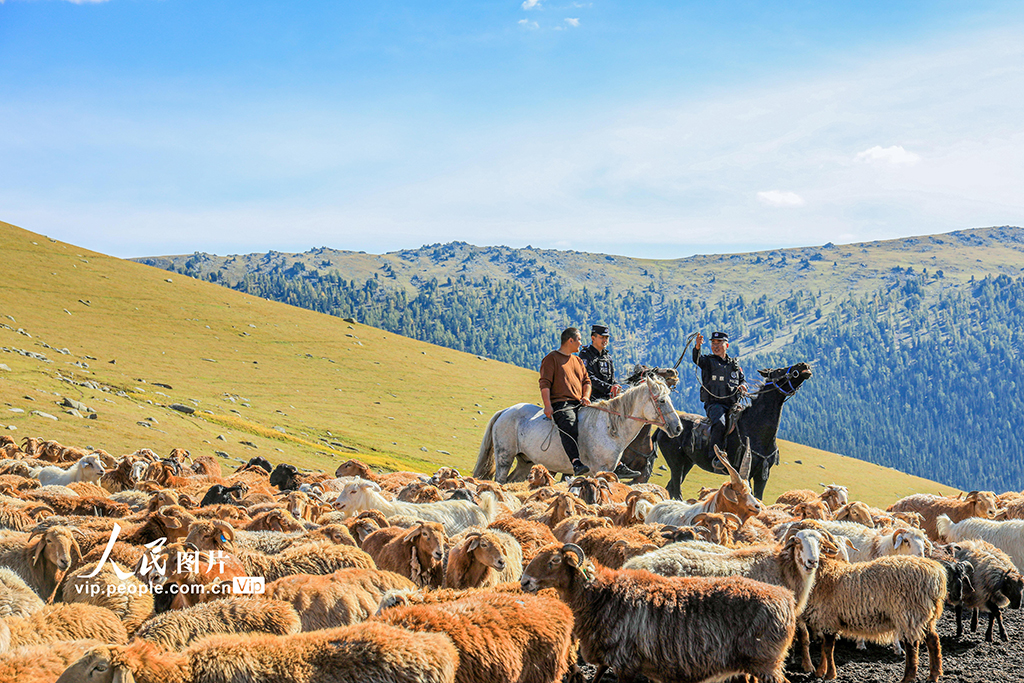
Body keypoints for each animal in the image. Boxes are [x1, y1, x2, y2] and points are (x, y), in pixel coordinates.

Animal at [475, 376, 684, 483]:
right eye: (662, 401)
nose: (678, 428)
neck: (610, 428)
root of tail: (505, 412)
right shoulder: (599, 470)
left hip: (525, 462)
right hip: (505, 457)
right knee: (500, 480)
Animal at [655, 362, 815, 501]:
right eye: (779, 370)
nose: (803, 365)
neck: (755, 429)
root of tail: (663, 429)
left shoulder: (762, 476)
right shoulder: (745, 471)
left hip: (687, 463)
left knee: (670, 487)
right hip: (676, 463)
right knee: (676, 490)